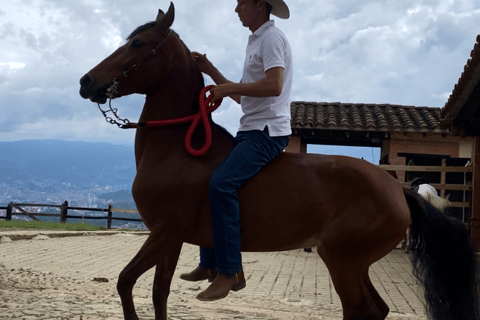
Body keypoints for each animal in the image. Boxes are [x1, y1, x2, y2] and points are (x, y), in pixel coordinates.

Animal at [80, 3, 478, 320]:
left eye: (137, 44)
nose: (86, 81)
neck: (178, 148)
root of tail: (398, 190)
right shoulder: (172, 238)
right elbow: (158, 292)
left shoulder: (164, 231)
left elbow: (125, 281)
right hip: (354, 264)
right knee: (376, 310)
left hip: (342, 261)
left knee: (360, 310)